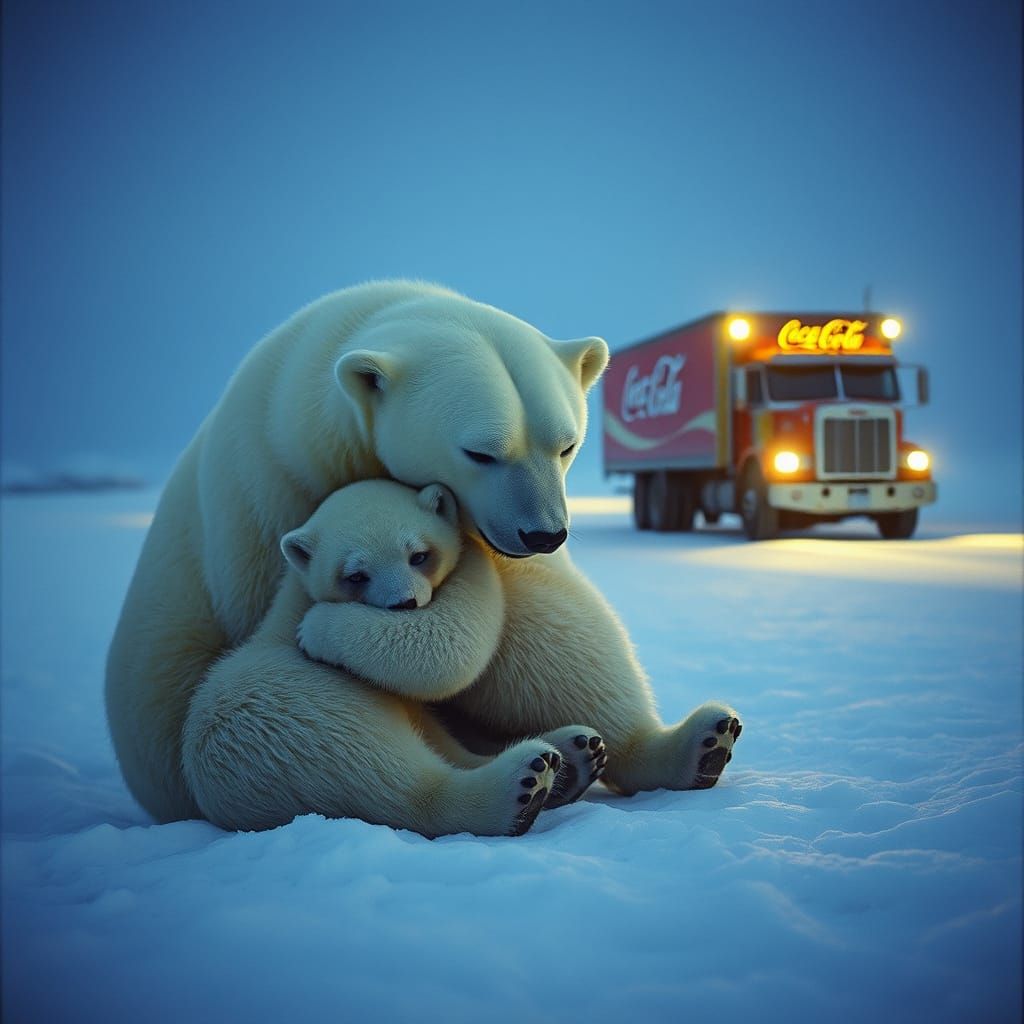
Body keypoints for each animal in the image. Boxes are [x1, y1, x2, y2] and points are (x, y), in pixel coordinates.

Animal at [183, 478, 601, 835]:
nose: (405, 603)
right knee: (388, 773)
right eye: (356, 575)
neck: (292, 601)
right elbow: (440, 646)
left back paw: (576, 753)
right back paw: (528, 780)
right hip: (301, 718)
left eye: (419, 555)